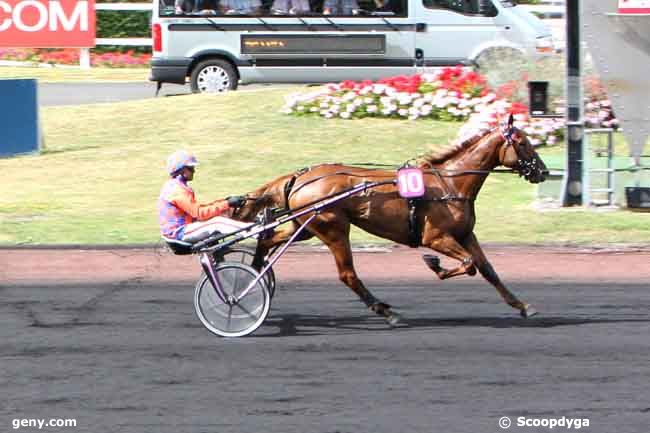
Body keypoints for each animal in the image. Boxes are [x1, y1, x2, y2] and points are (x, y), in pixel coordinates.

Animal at [233, 117, 548, 324]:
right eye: (522, 142)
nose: (543, 172)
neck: (449, 184)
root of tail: (300, 176)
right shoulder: (435, 237)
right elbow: (468, 265)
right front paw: (434, 265)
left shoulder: (465, 234)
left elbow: (487, 269)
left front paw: (523, 306)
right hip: (334, 227)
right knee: (348, 275)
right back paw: (386, 311)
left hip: (306, 227)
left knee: (267, 239)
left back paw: (253, 274)